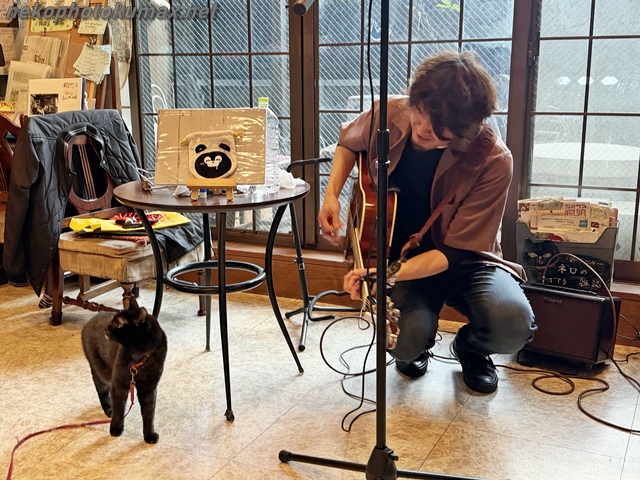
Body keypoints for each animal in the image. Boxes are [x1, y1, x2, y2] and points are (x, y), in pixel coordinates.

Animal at [81, 298, 167, 444]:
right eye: (113, 321)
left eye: (118, 323)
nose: (106, 328)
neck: (140, 356)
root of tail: (89, 320)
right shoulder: (119, 384)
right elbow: (119, 409)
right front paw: (115, 428)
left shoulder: (149, 388)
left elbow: (149, 414)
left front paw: (149, 435)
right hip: (100, 371)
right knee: (102, 391)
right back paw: (108, 409)